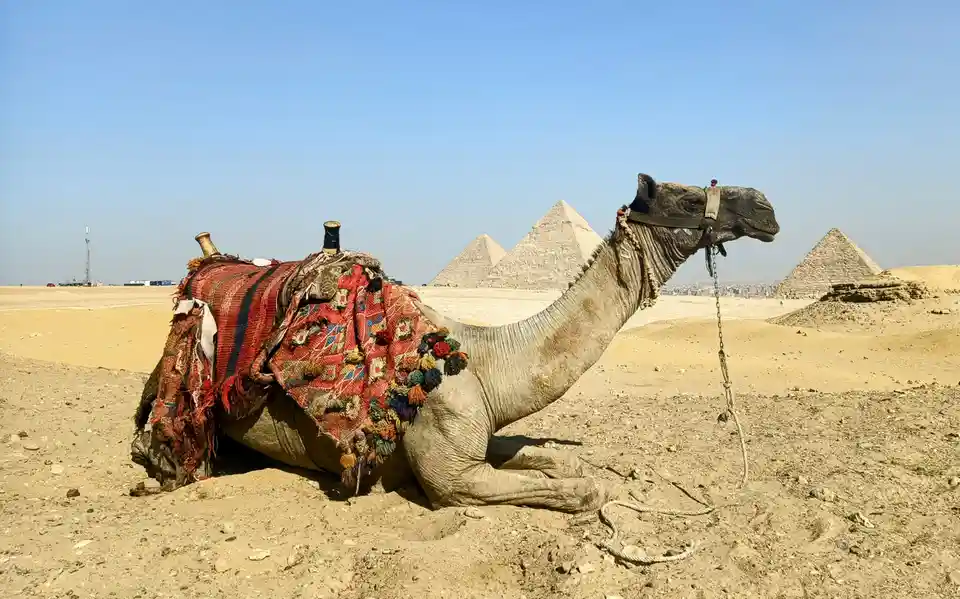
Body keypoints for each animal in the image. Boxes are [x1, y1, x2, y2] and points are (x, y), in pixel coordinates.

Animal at [131, 173, 779, 513]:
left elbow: (555, 460)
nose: (764, 206)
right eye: (687, 196)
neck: (482, 359)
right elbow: (579, 489)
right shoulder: (452, 477)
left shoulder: (480, 432)